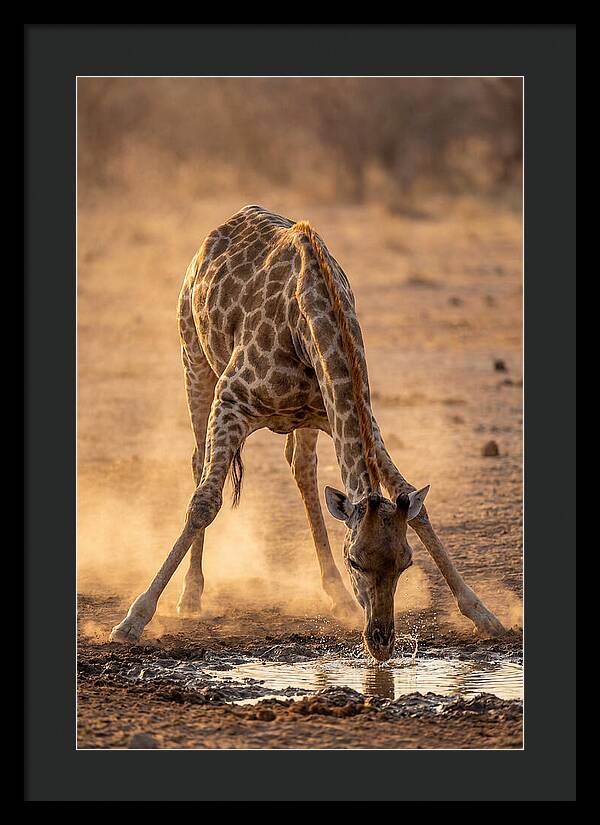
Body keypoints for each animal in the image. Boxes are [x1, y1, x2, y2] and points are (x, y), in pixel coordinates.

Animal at [109, 205, 506, 659]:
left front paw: (484, 614)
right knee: (199, 464)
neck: (310, 319)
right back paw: (191, 596)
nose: (381, 642)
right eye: (356, 560)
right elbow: (204, 503)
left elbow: (414, 505)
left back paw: (337, 596)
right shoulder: (231, 400)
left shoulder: (351, 414)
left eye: (405, 562)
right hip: (193, 359)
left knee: (302, 470)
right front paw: (134, 619)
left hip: (304, 420)